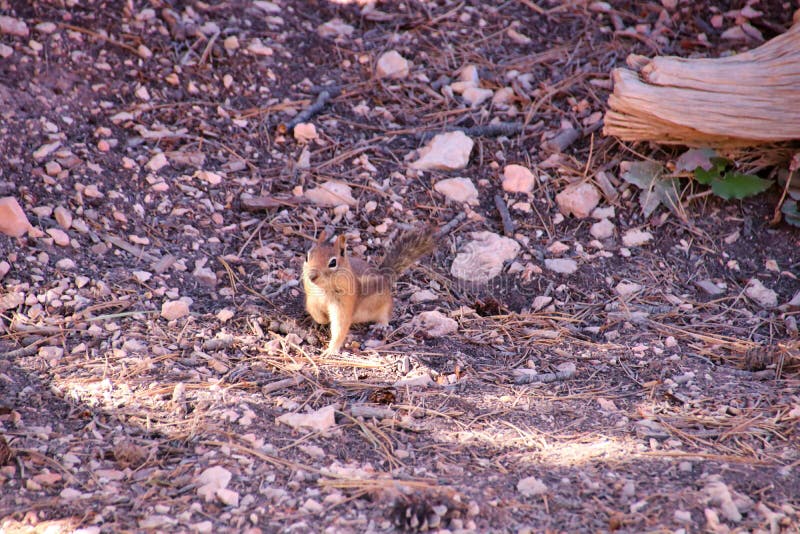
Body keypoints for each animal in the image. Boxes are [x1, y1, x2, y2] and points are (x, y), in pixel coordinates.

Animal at [302, 227, 435, 354]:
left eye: (333, 262)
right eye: (307, 256)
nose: (311, 276)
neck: (323, 290)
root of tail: (384, 277)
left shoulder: (344, 306)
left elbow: (340, 327)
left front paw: (331, 350)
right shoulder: (312, 301)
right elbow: (316, 314)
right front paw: (321, 320)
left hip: (385, 304)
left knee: (386, 314)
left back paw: (381, 326)